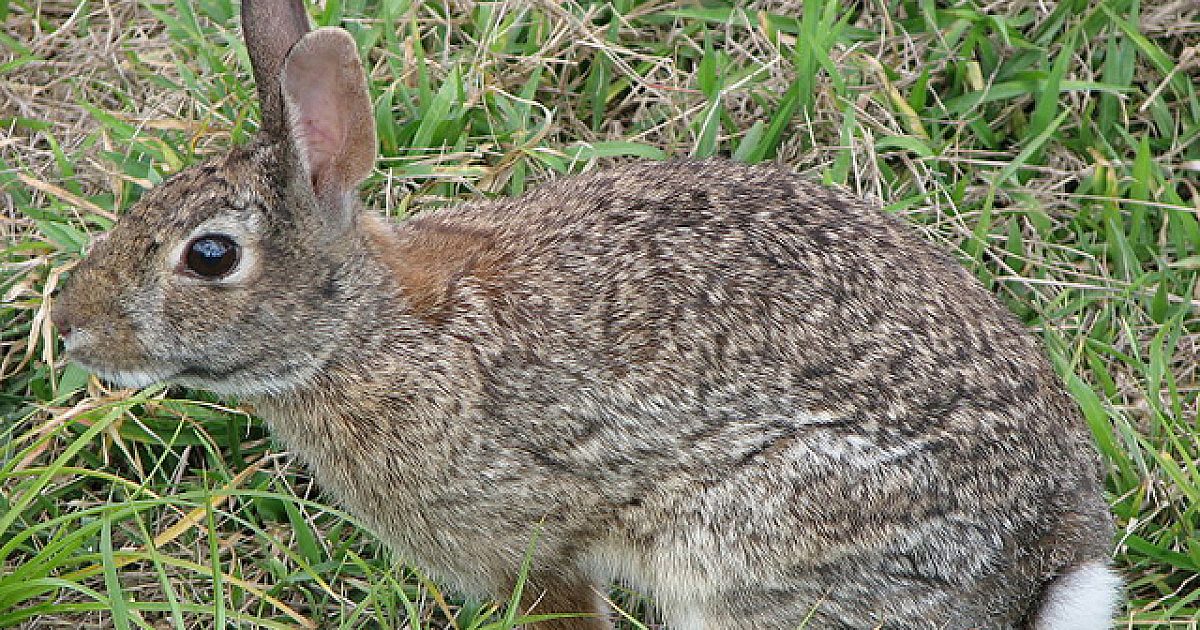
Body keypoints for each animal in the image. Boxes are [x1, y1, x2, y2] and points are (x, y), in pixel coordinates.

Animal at [52, 0, 1121, 627]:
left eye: (210, 256)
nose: (68, 323)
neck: (365, 334)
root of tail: (1048, 561)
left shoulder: (528, 545)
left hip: (750, 556)